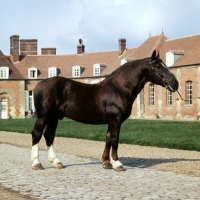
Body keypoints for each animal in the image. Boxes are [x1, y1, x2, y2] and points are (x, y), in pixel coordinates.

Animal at [30, 50, 178, 170]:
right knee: (37, 134)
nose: (175, 83)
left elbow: (108, 138)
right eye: (158, 66)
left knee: (49, 135)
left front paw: (107, 162)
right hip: (43, 116)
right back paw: (37, 163)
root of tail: (38, 85)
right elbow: (115, 139)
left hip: (53, 117)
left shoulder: (111, 121)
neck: (119, 88)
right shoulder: (115, 119)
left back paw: (56, 162)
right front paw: (117, 163)